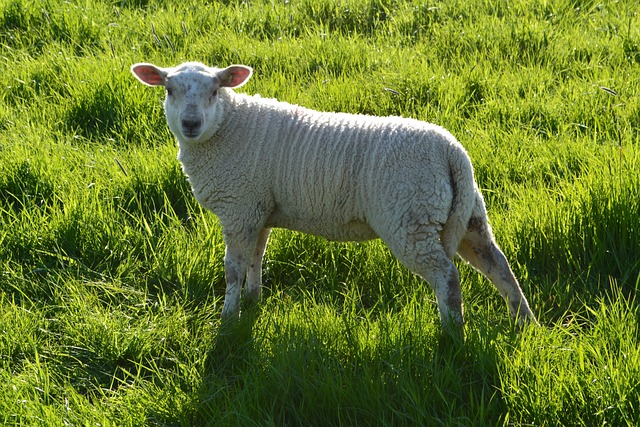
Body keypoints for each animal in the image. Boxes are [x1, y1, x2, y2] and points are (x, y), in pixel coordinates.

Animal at [132, 61, 536, 332]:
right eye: (169, 90)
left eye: (215, 91)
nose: (190, 124)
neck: (228, 128)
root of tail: (452, 151)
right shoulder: (257, 210)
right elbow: (255, 259)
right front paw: (253, 300)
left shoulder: (238, 208)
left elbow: (233, 269)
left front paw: (228, 319)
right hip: (465, 213)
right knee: (498, 265)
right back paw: (524, 323)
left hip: (410, 218)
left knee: (447, 277)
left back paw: (452, 335)